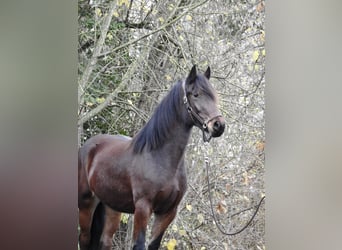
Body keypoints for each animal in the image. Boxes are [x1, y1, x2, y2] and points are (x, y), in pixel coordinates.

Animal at [79, 65, 226, 250]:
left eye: (213, 95)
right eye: (196, 94)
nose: (219, 125)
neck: (160, 158)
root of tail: (88, 147)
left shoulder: (167, 212)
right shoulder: (143, 208)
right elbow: (139, 244)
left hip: (111, 206)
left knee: (105, 241)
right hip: (86, 203)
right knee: (84, 238)